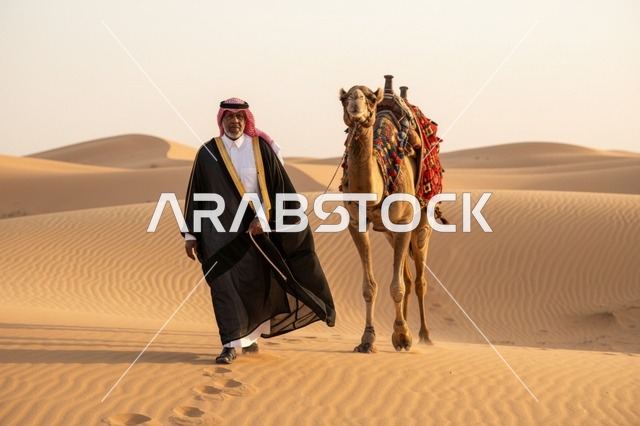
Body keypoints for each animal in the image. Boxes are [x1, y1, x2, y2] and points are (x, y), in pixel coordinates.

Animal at [339, 77, 433, 353]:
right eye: (343, 98)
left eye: (370, 98)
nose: (355, 107)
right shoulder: (356, 223)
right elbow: (370, 287)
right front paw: (368, 339)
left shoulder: (403, 222)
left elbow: (396, 286)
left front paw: (402, 336)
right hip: (391, 233)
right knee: (408, 277)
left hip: (421, 223)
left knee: (419, 280)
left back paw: (424, 335)